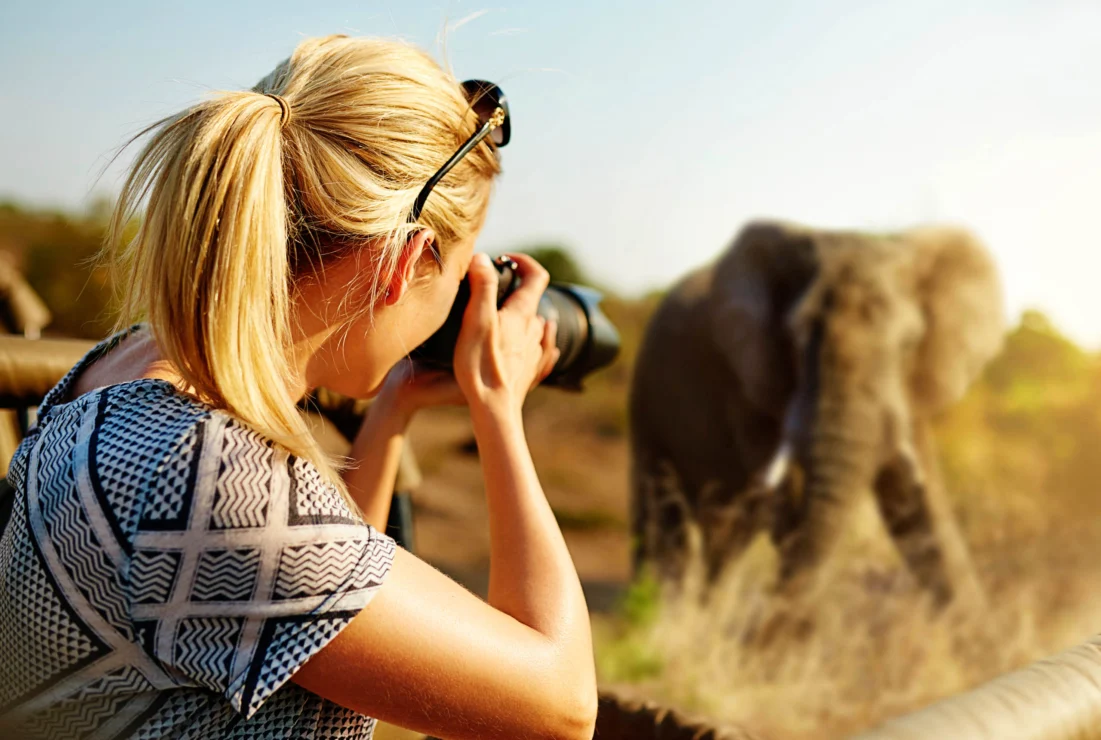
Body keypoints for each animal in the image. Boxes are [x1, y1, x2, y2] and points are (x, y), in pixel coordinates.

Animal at [629, 221, 1008, 607]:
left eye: (908, 345)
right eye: (795, 338)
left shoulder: (909, 390)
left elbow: (915, 505)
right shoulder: (749, 386)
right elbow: (788, 507)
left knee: (725, 542)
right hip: (647, 407)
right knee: (665, 529)